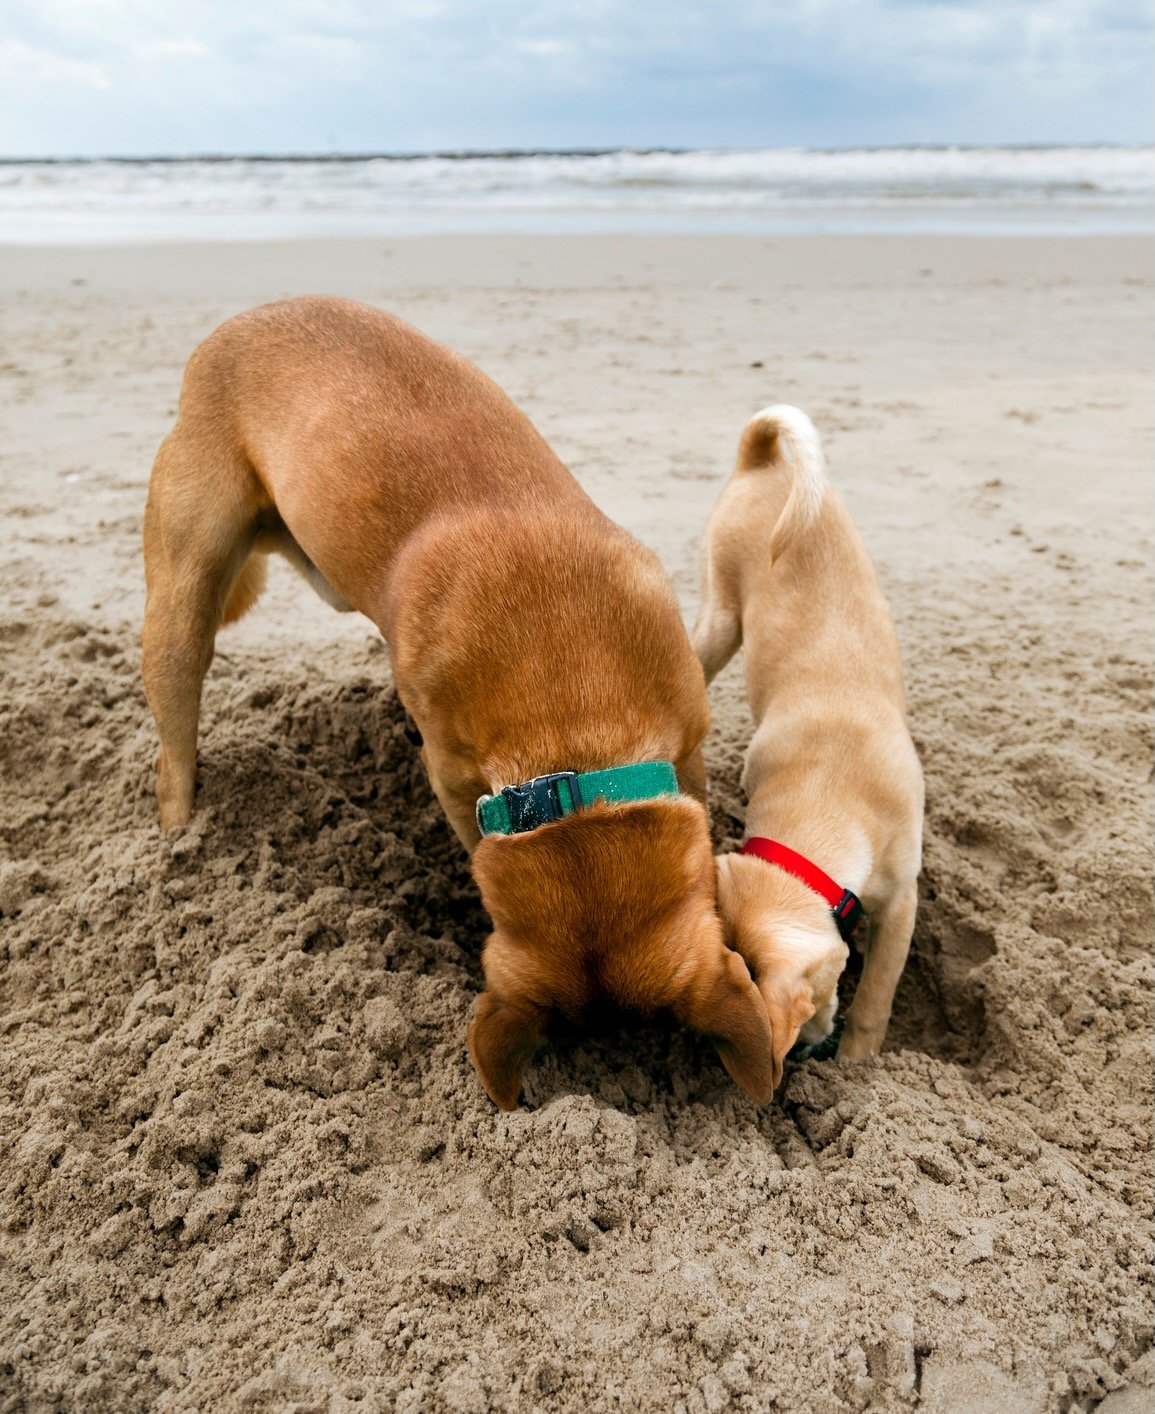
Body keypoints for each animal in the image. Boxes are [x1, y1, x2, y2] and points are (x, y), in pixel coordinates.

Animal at [142, 298, 774, 1108]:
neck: (566, 720)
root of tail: (235, 326)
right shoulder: (453, 775)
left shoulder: (684, 744)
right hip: (182, 607)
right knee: (175, 751)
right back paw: (183, 852)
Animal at [689, 407, 921, 1068]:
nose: (805, 1052)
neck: (828, 783)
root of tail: (763, 461)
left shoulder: (902, 903)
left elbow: (875, 996)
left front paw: (858, 1063)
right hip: (721, 619)